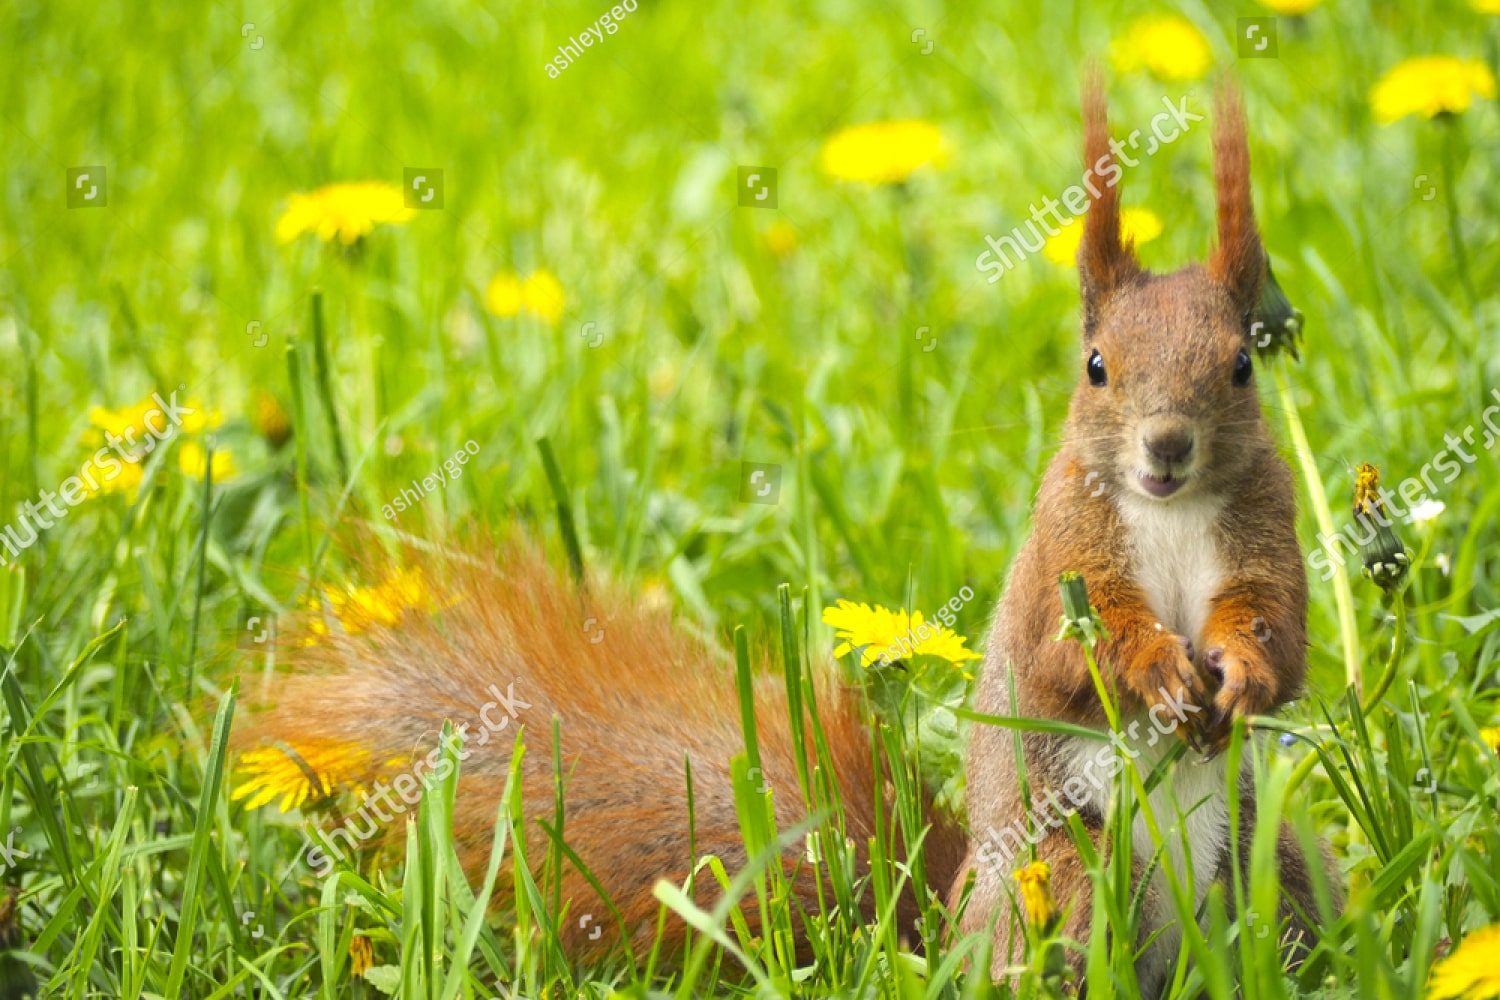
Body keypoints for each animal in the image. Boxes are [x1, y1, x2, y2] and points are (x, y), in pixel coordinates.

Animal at [235, 76, 1332, 989]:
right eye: (1096, 366)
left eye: (1243, 365)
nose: (1167, 447)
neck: (1170, 513)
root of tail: (941, 925)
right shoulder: (1060, 556)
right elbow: (1072, 650)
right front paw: (1158, 671)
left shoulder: (1263, 536)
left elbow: (1278, 632)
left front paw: (1238, 677)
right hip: (1057, 881)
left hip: (1271, 865)